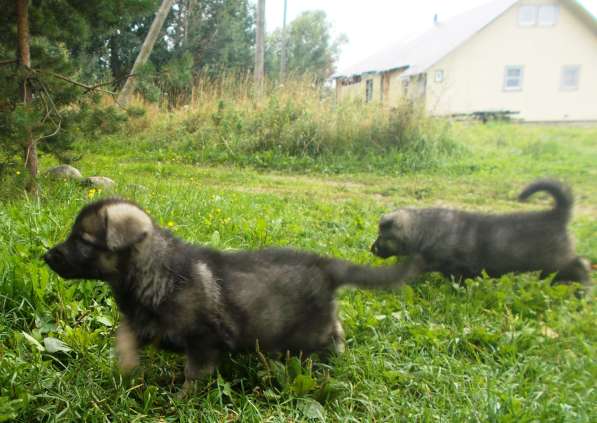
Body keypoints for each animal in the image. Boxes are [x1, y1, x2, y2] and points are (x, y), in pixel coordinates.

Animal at [44, 198, 422, 390]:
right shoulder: (138, 322)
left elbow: (194, 374)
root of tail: (325, 265)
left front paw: (184, 398)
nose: (46, 256)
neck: (150, 270)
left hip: (308, 330)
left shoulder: (202, 340)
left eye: (83, 241)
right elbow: (124, 336)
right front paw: (126, 369)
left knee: (331, 337)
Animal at [372, 179, 592, 292]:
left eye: (381, 236)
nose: (371, 248)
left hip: (556, 261)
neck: (424, 228)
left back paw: (584, 290)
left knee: (580, 265)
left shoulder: (450, 265)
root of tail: (558, 214)